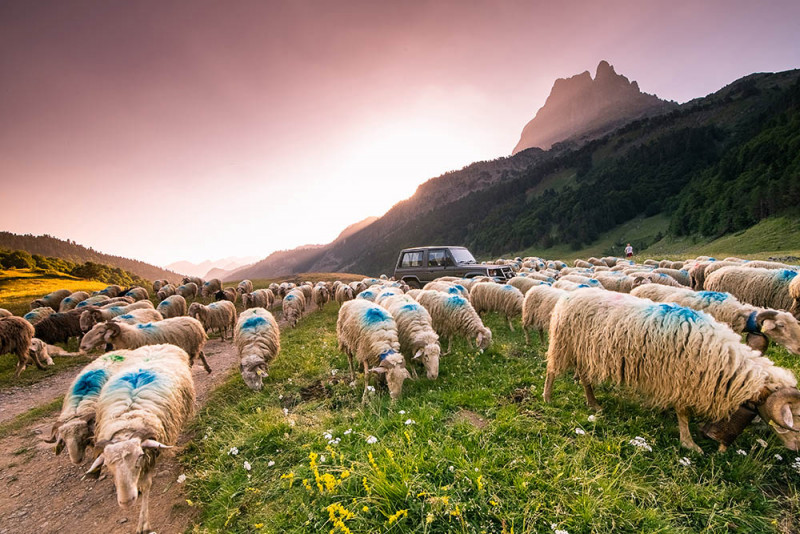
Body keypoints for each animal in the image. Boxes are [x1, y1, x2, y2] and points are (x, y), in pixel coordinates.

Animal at [86, 344, 195, 534]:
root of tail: (157, 345)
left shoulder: (151, 453)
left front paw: (144, 524)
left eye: (139, 458)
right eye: (108, 465)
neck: (127, 422)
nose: (126, 502)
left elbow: (146, 485)